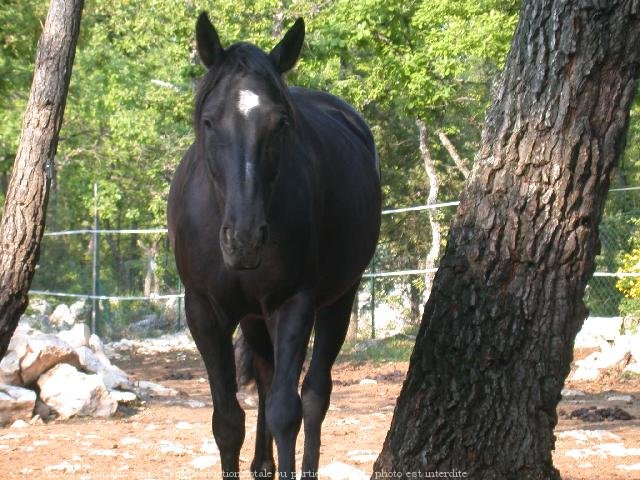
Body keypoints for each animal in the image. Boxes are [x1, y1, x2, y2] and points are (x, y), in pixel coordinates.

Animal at [168, 12, 382, 480]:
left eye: (281, 123)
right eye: (209, 121)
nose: (245, 239)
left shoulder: (293, 303)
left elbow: (288, 411)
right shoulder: (203, 310)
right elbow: (227, 421)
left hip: (339, 300)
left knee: (315, 394)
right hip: (252, 315)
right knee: (266, 377)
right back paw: (262, 464)